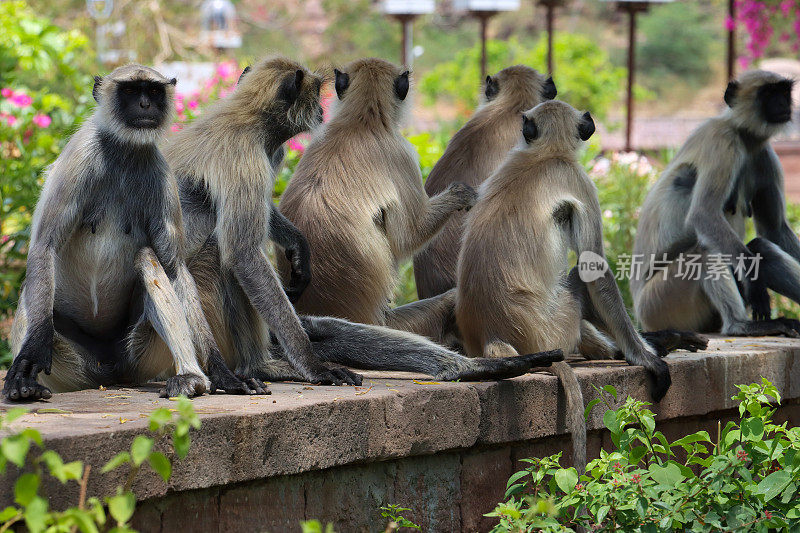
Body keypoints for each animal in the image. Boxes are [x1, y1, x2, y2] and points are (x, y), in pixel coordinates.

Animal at [3, 64, 253, 400]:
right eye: (132, 91)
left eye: (153, 91)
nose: (145, 105)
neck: (124, 150)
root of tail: (110, 373)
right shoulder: (80, 154)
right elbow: (46, 245)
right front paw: (29, 359)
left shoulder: (160, 173)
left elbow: (175, 269)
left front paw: (221, 370)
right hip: (73, 366)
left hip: (138, 355)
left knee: (149, 259)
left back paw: (191, 377)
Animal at [456, 101, 708, 470]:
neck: (543, 155)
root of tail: (492, 335)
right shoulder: (579, 179)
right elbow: (594, 268)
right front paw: (645, 360)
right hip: (555, 324)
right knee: (579, 279)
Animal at [636, 70, 800, 336]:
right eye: (768, 94)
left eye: (784, 92)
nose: (783, 105)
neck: (742, 135)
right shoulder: (722, 141)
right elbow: (704, 214)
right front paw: (756, 286)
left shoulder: (764, 155)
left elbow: (774, 230)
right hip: (658, 305)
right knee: (705, 251)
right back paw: (740, 326)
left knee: (761, 248)